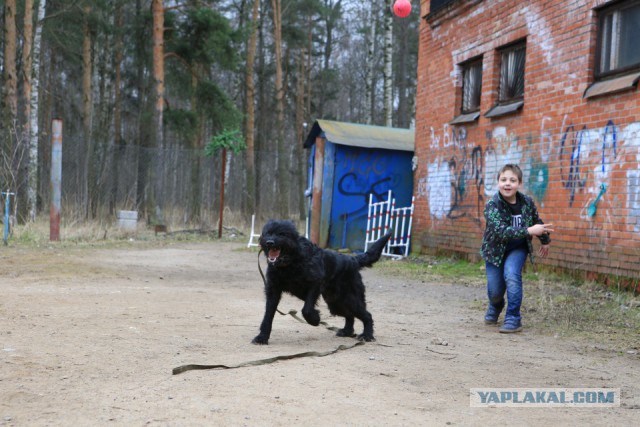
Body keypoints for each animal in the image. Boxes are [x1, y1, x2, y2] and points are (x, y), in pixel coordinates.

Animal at [251, 219, 390, 346]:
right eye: (268, 233)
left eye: (282, 234)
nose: (269, 242)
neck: (291, 262)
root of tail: (353, 260)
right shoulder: (273, 291)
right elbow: (268, 316)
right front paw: (262, 337)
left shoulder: (314, 285)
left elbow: (306, 309)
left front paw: (315, 319)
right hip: (335, 302)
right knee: (350, 315)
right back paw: (347, 331)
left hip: (350, 299)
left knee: (367, 315)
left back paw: (367, 335)